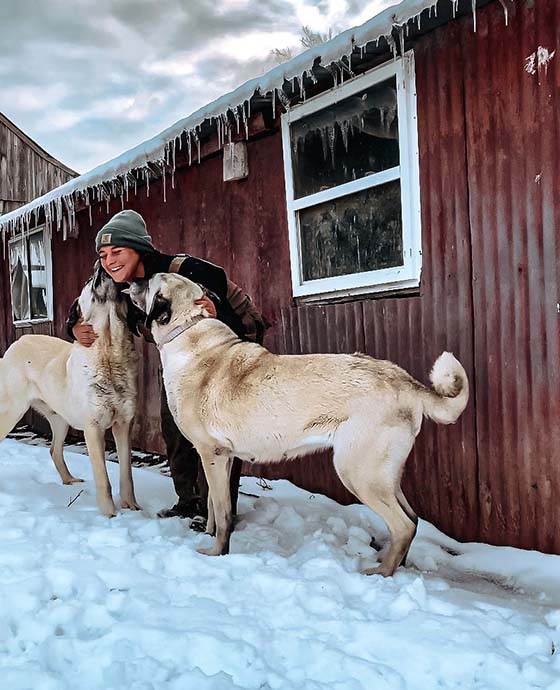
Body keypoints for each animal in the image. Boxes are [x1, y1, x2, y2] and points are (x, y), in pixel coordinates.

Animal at [0, 264, 140, 516]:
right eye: (88, 279)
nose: (100, 265)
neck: (108, 351)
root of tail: (17, 341)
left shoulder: (124, 424)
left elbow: (127, 474)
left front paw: (133, 508)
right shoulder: (93, 428)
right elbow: (103, 478)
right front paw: (109, 514)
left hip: (60, 419)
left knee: (54, 451)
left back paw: (69, 481)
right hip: (11, 412)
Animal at [127, 272, 468, 572]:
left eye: (150, 281)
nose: (131, 280)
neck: (188, 329)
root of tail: (405, 380)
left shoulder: (212, 454)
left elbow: (223, 512)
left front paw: (216, 553)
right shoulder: (222, 458)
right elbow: (213, 505)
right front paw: (210, 536)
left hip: (357, 472)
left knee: (403, 525)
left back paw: (380, 573)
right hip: (383, 475)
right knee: (413, 519)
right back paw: (396, 566)